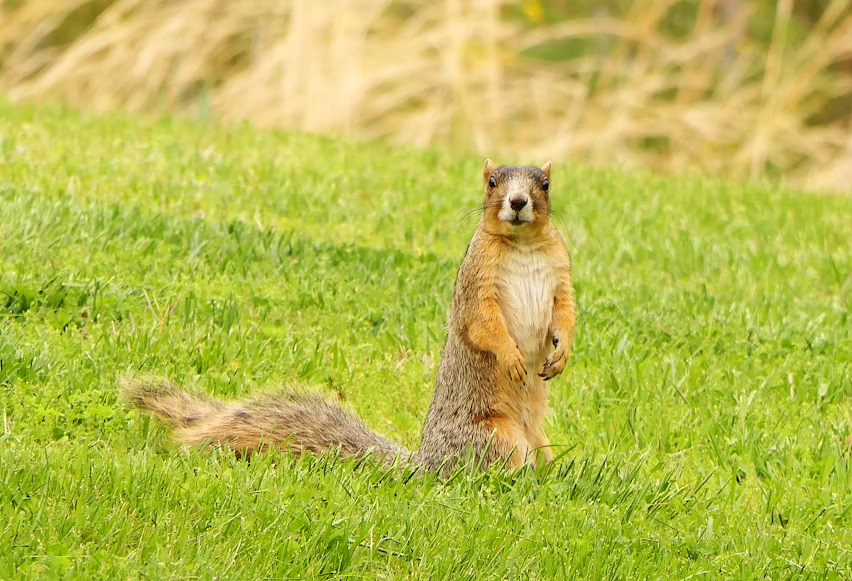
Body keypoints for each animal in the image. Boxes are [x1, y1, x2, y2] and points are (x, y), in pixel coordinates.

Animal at [121, 160, 576, 472]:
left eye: (545, 184)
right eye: (492, 182)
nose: (518, 202)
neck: (521, 245)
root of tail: (427, 464)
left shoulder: (561, 276)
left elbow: (566, 314)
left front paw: (561, 353)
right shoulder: (475, 285)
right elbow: (481, 323)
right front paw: (513, 357)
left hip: (536, 441)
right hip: (495, 437)